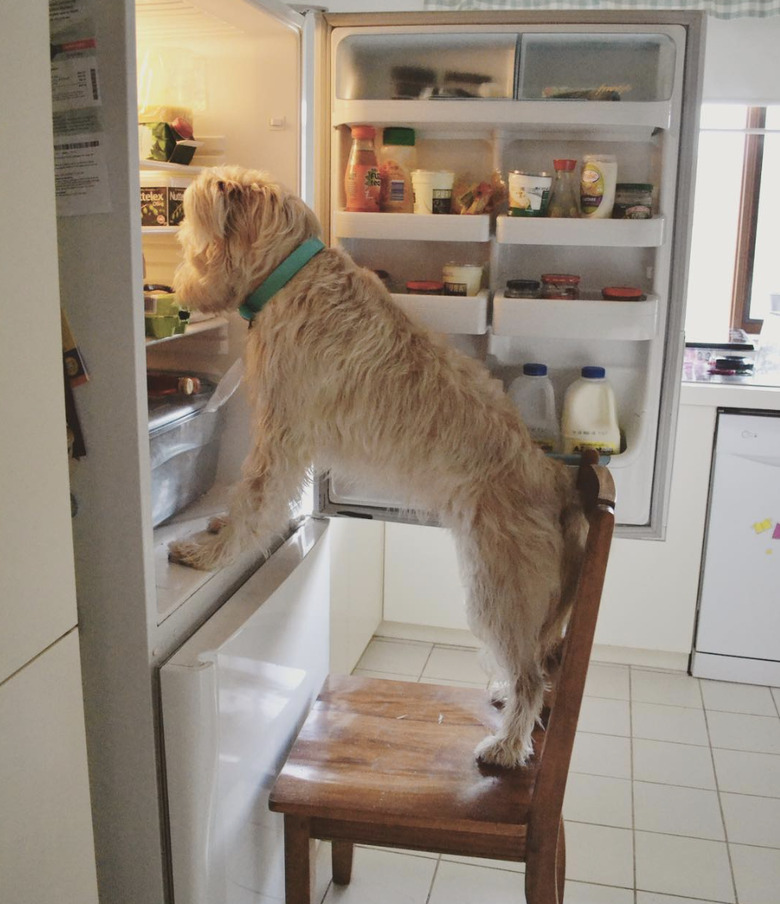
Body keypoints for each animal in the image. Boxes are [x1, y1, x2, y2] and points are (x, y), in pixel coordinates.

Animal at [169, 166, 584, 768]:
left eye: (190, 230)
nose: (177, 290)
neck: (290, 272)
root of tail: (555, 481)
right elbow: (249, 498)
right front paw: (219, 529)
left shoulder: (281, 436)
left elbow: (255, 496)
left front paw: (214, 553)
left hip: (498, 593)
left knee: (533, 676)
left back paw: (507, 745)